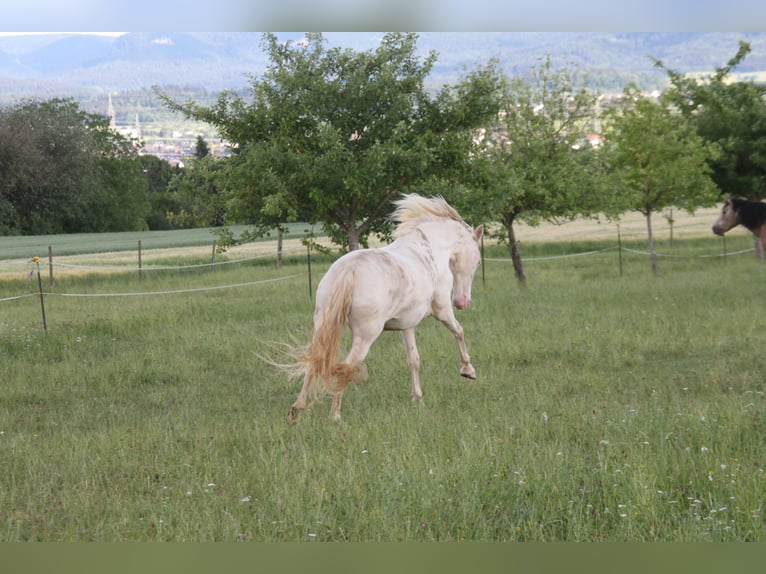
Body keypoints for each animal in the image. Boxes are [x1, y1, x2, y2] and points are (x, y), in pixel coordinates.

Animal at [286, 193, 484, 422]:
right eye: (478, 260)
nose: (462, 302)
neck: (430, 248)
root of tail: (349, 270)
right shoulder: (443, 310)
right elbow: (459, 331)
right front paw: (468, 371)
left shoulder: (407, 324)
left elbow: (414, 359)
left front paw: (418, 400)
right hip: (366, 336)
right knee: (346, 367)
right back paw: (335, 416)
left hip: (321, 325)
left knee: (314, 361)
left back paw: (297, 409)